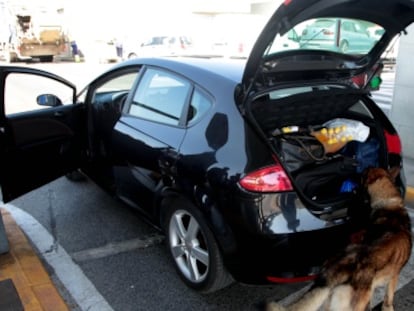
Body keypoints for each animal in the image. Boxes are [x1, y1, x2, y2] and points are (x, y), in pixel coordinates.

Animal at [266, 168, 412, 311]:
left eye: (362, 176)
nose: (354, 182)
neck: (388, 204)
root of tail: (334, 270)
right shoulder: (394, 276)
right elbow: (389, 297)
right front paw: (388, 307)